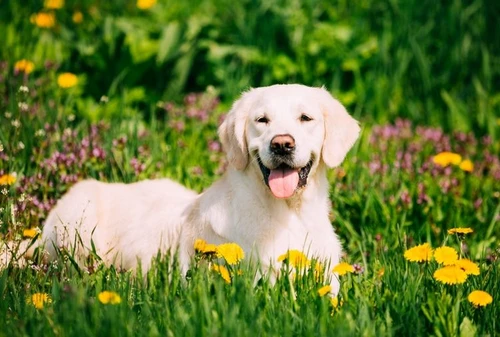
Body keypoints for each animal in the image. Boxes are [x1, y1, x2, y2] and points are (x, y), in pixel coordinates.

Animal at [0, 83, 360, 292]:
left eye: (305, 118)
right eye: (262, 120)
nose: (282, 144)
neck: (288, 214)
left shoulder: (328, 279)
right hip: (78, 231)